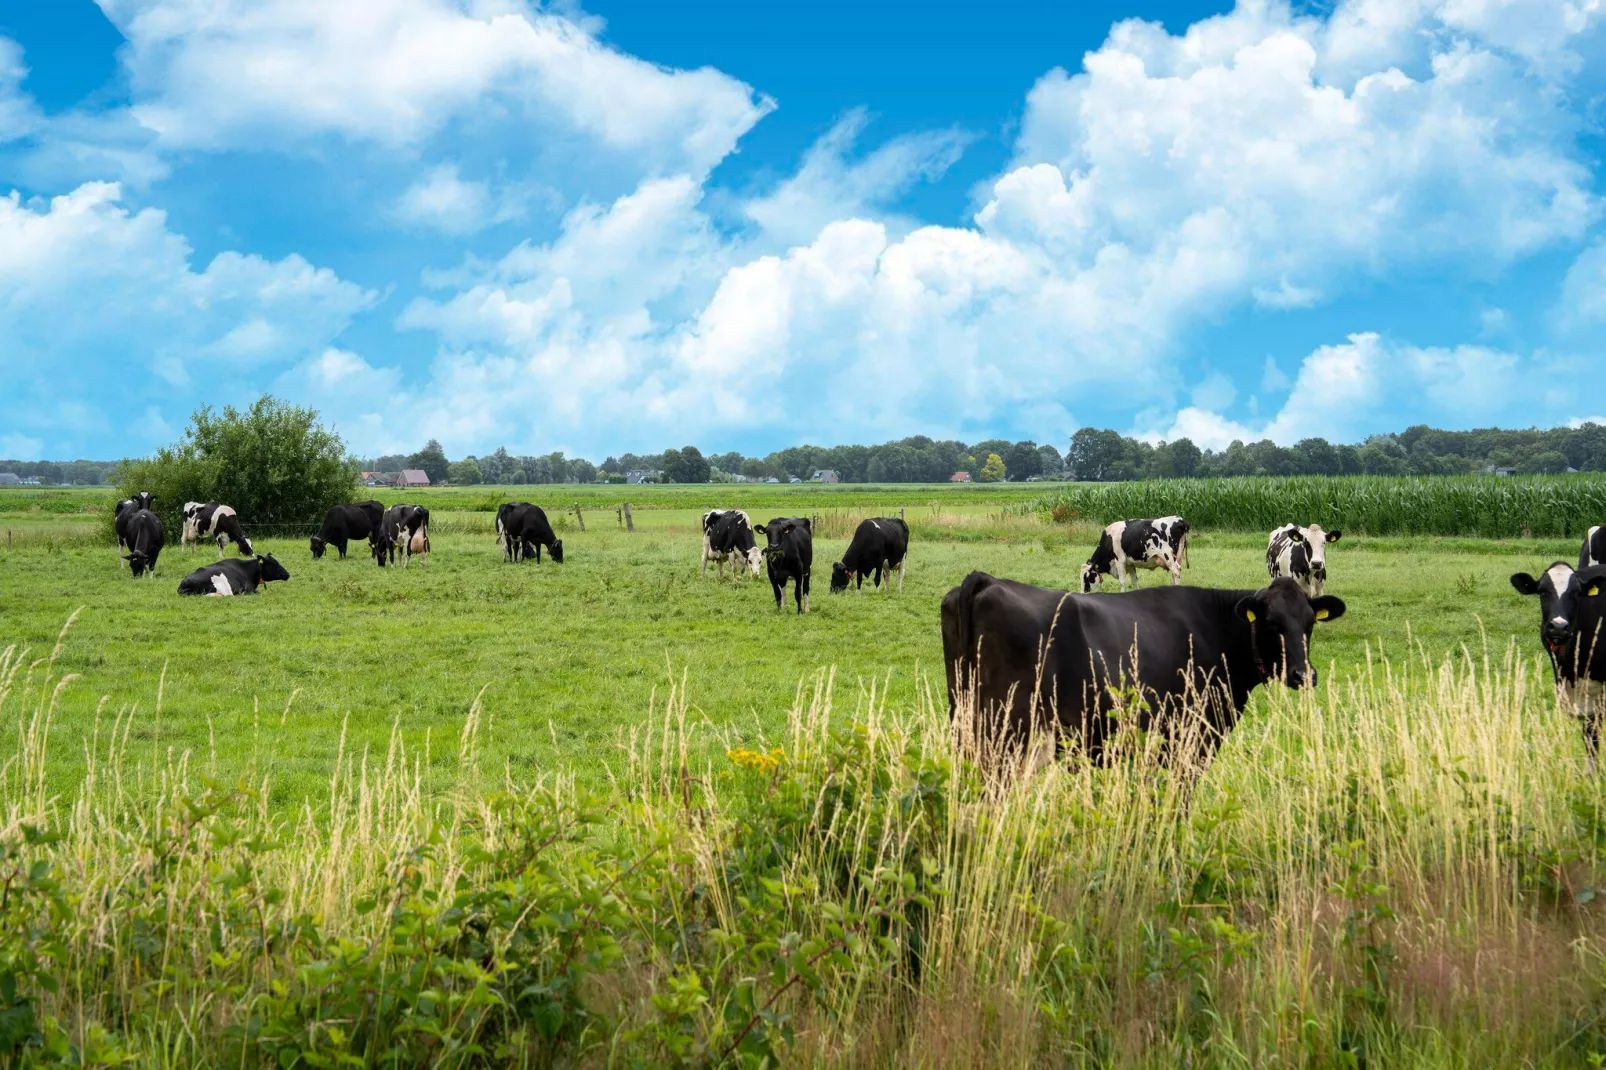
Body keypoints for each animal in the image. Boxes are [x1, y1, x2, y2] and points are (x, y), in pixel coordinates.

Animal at [937, 565, 1342, 758]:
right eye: (1272, 624)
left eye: (1310, 623)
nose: (1303, 674)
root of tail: (987, 580)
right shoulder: (1189, 740)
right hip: (1005, 730)